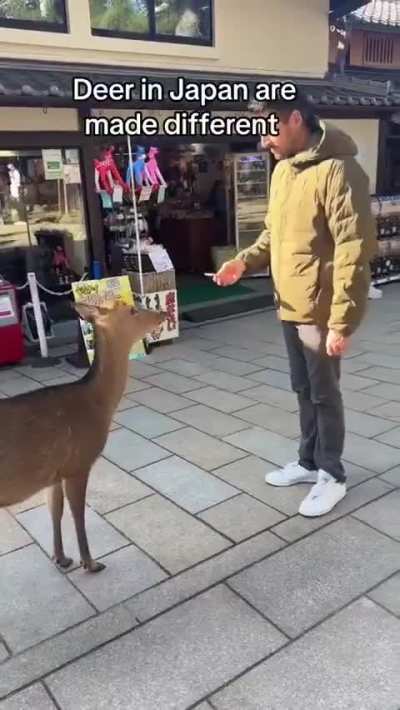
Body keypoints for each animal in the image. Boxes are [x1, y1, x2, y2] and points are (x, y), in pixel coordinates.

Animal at [0, 301, 166, 573]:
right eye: (131, 309)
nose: (162, 313)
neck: (97, 403)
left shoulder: (55, 471)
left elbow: (54, 509)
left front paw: (60, 557)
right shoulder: (79, 462)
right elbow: (78, 513)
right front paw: (90, 562)